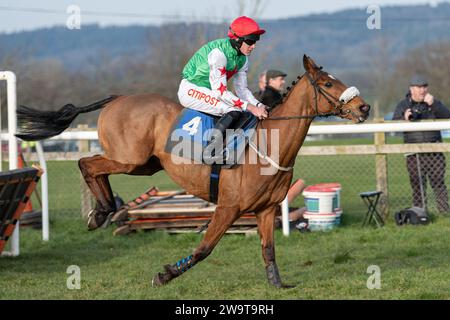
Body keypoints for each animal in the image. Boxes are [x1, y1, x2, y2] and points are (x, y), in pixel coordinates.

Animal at [16, 55, 370, 288]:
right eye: (328, 83)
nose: (364, 107)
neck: (270, 145)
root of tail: (119, 98)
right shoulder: (228, 207)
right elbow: (204, 249)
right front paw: (165, 275)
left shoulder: (267, 209)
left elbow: (268, 250)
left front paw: (278, 285)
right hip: (129, 158)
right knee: (86, 163)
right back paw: (101, 211)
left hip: (144, 165)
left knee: (97, 167)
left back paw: (102, 211)